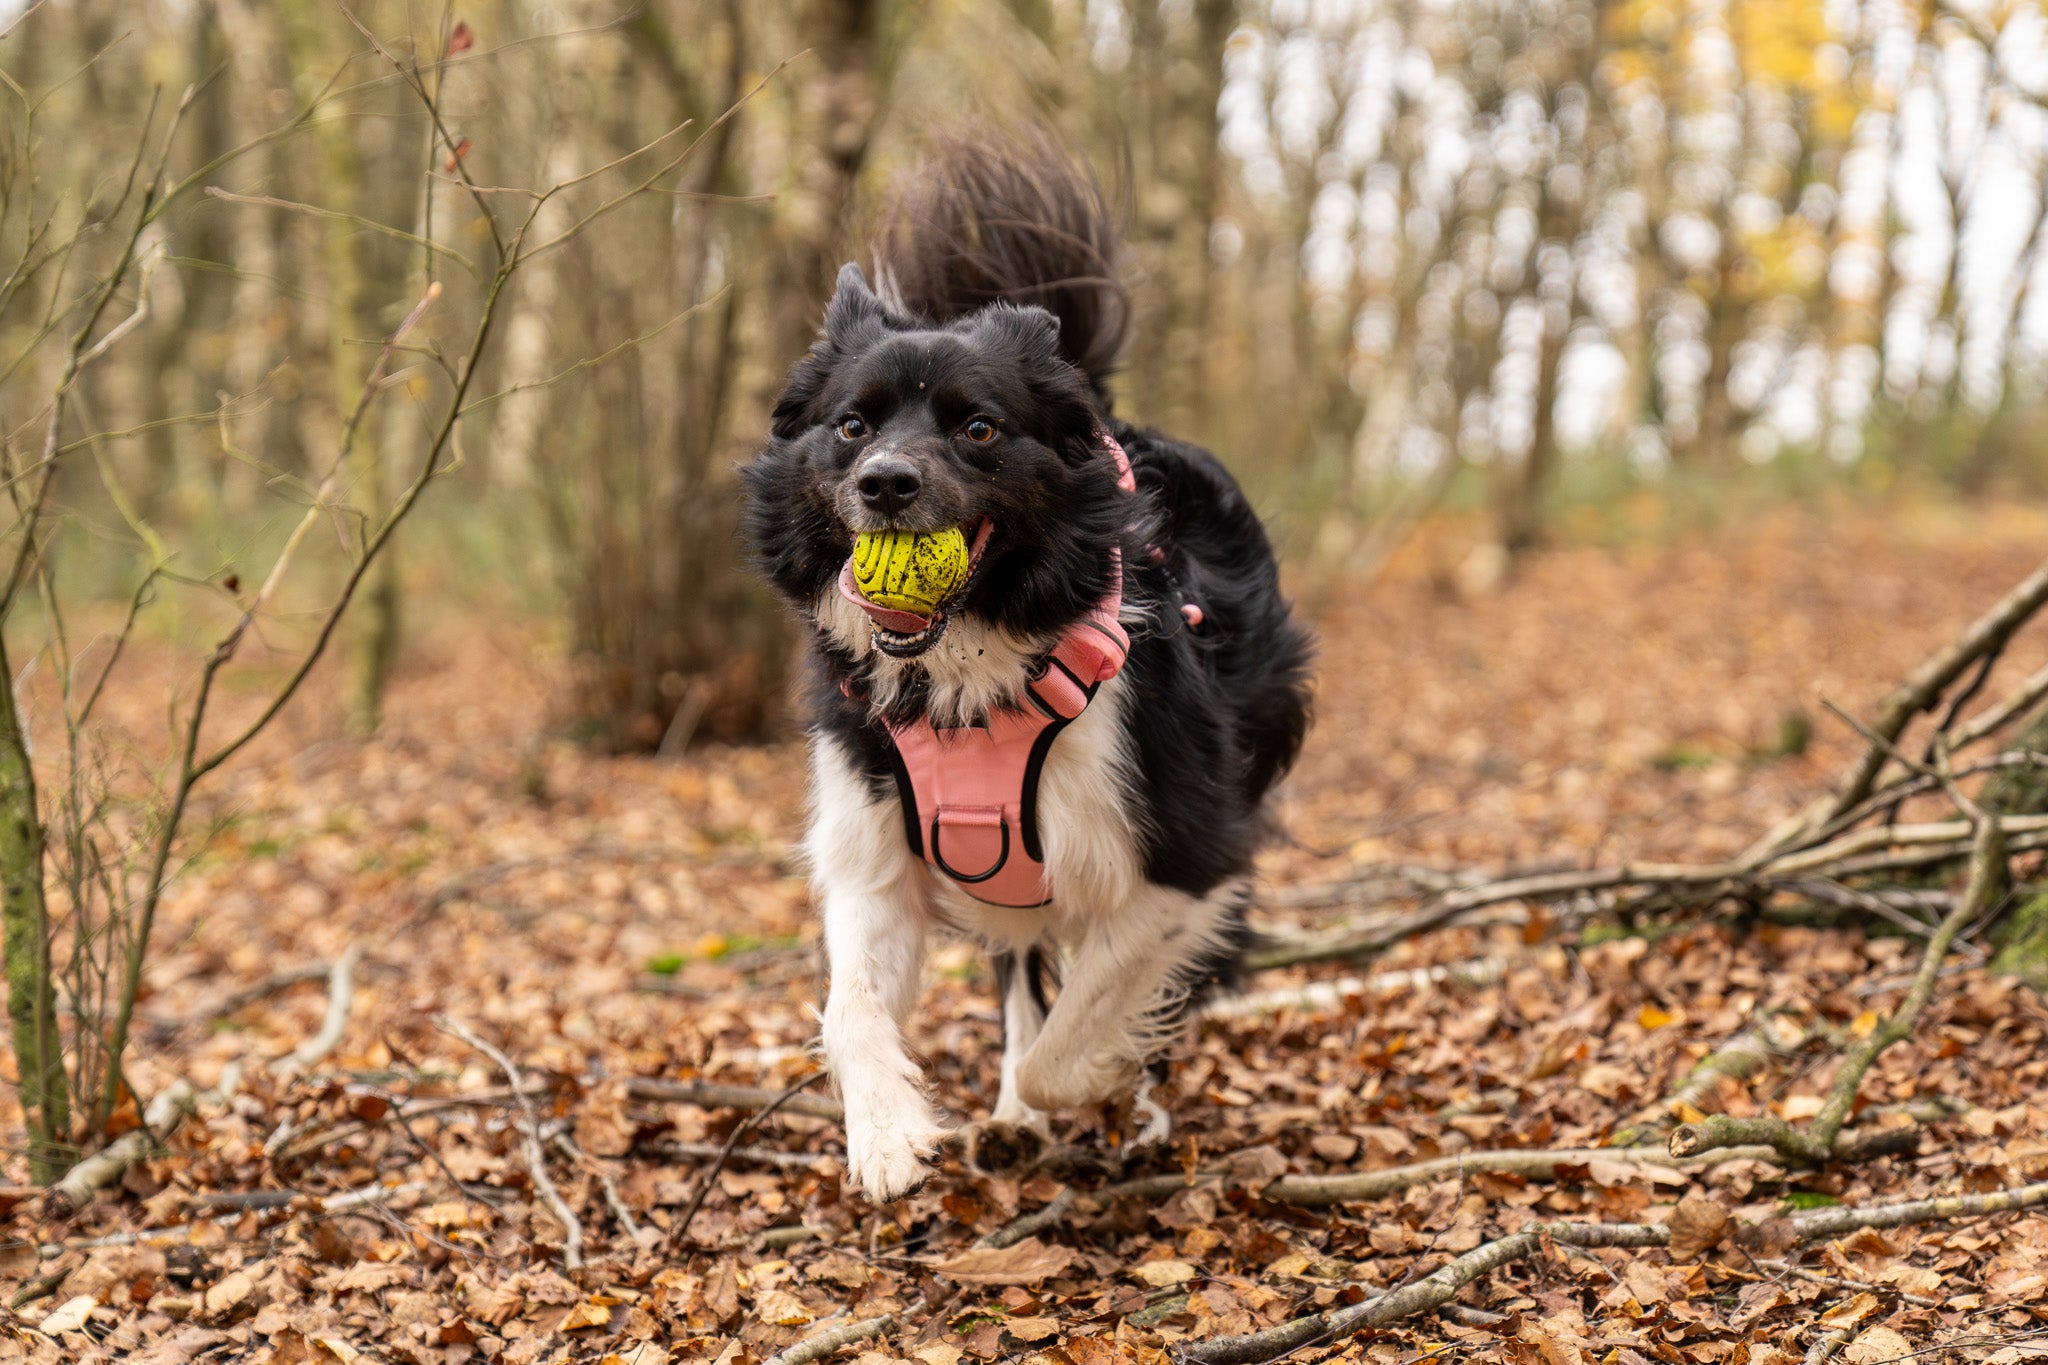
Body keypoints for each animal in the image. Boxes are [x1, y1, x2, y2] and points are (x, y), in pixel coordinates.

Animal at [749, 136, 1310, 1203]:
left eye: (978, 427)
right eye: (851, 424)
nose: (886, 484)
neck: (972, 669)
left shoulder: (1185, 862)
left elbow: (1086, 1022)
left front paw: (1107, 1077)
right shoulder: (873, 846)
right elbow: (850, 1007)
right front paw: (888, 1134)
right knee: (1017, 965)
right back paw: (1009, 1117)